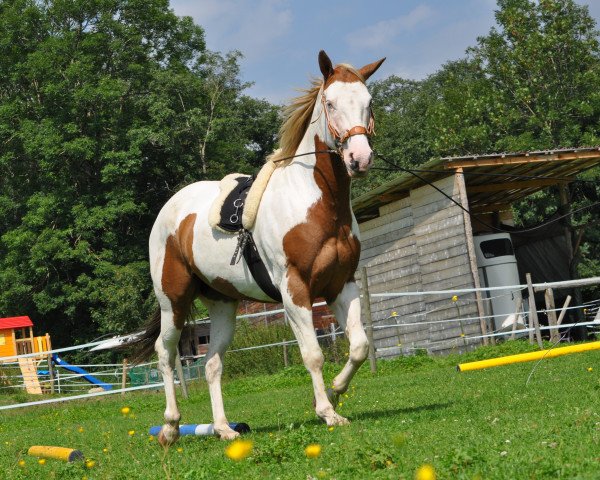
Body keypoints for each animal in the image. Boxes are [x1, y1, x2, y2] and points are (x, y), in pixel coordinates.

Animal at [134, 49, 386, 446]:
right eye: (330, 103)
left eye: (368, 102)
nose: (359, 159)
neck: (318, 205)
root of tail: (169, 211)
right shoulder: (295, 291)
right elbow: (312, 354)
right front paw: (327, 412)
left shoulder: (340, 286)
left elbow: (359, 346)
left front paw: (334, 391)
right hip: (173, 301)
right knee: (165, 353)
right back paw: (171, 428)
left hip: (223, 305)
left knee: (212, 364)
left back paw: (223, 429)